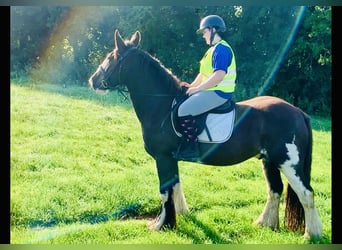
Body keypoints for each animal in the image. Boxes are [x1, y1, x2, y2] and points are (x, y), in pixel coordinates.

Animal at [89, 29, 324, 240]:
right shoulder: (171, 159)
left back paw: (311, 235)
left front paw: (162, 225)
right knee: (275, 190)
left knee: (306, 193)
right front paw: (180, 216)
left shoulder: (163, 158)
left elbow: (165, 192)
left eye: (111, 57)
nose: (93, 80)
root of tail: (299, 113)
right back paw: (264, 224)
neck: (162, 105)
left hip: (289, 163)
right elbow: (175, 187)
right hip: (270, 161)